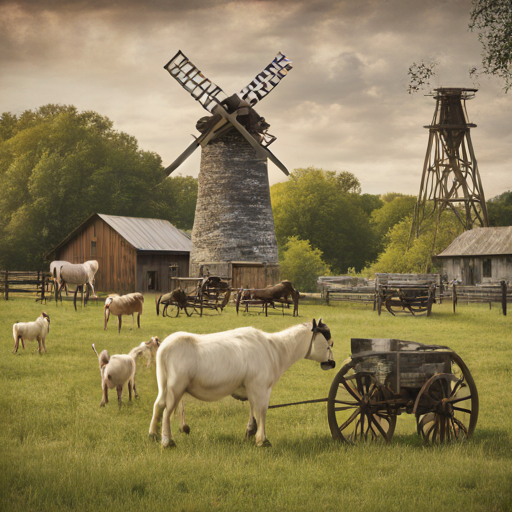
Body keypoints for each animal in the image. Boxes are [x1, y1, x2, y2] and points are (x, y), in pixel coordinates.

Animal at [148, 320, 336, 448]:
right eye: (329, 344)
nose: (332, 363)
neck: (276, 350)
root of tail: (164, 347)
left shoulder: (251, 386)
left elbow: (253, 409)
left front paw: (250, 432)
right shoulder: (261, 386)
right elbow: (262, 411)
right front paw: (262, 440)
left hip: (163, 383)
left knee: (158, 405)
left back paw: (153, 435)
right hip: (176, 386)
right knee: (167, 411)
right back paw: (167, 442)